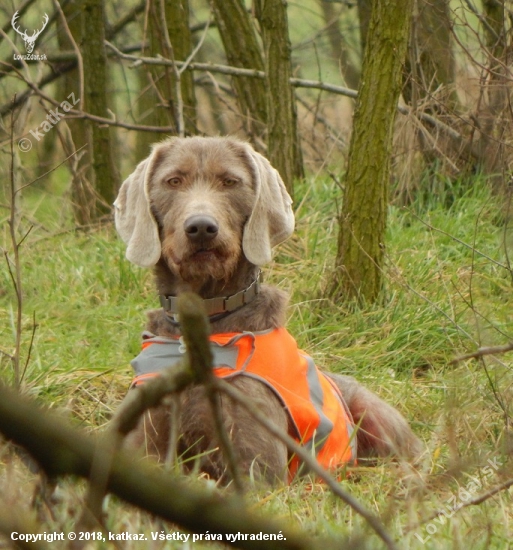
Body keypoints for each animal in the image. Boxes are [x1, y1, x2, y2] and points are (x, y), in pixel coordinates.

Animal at [113, 136, 420, 486]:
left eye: (230, 182)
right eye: (173, 181)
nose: (201, 227)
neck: (205, 312)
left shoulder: (258, 467)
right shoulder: (141, 439)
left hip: (375, 415)